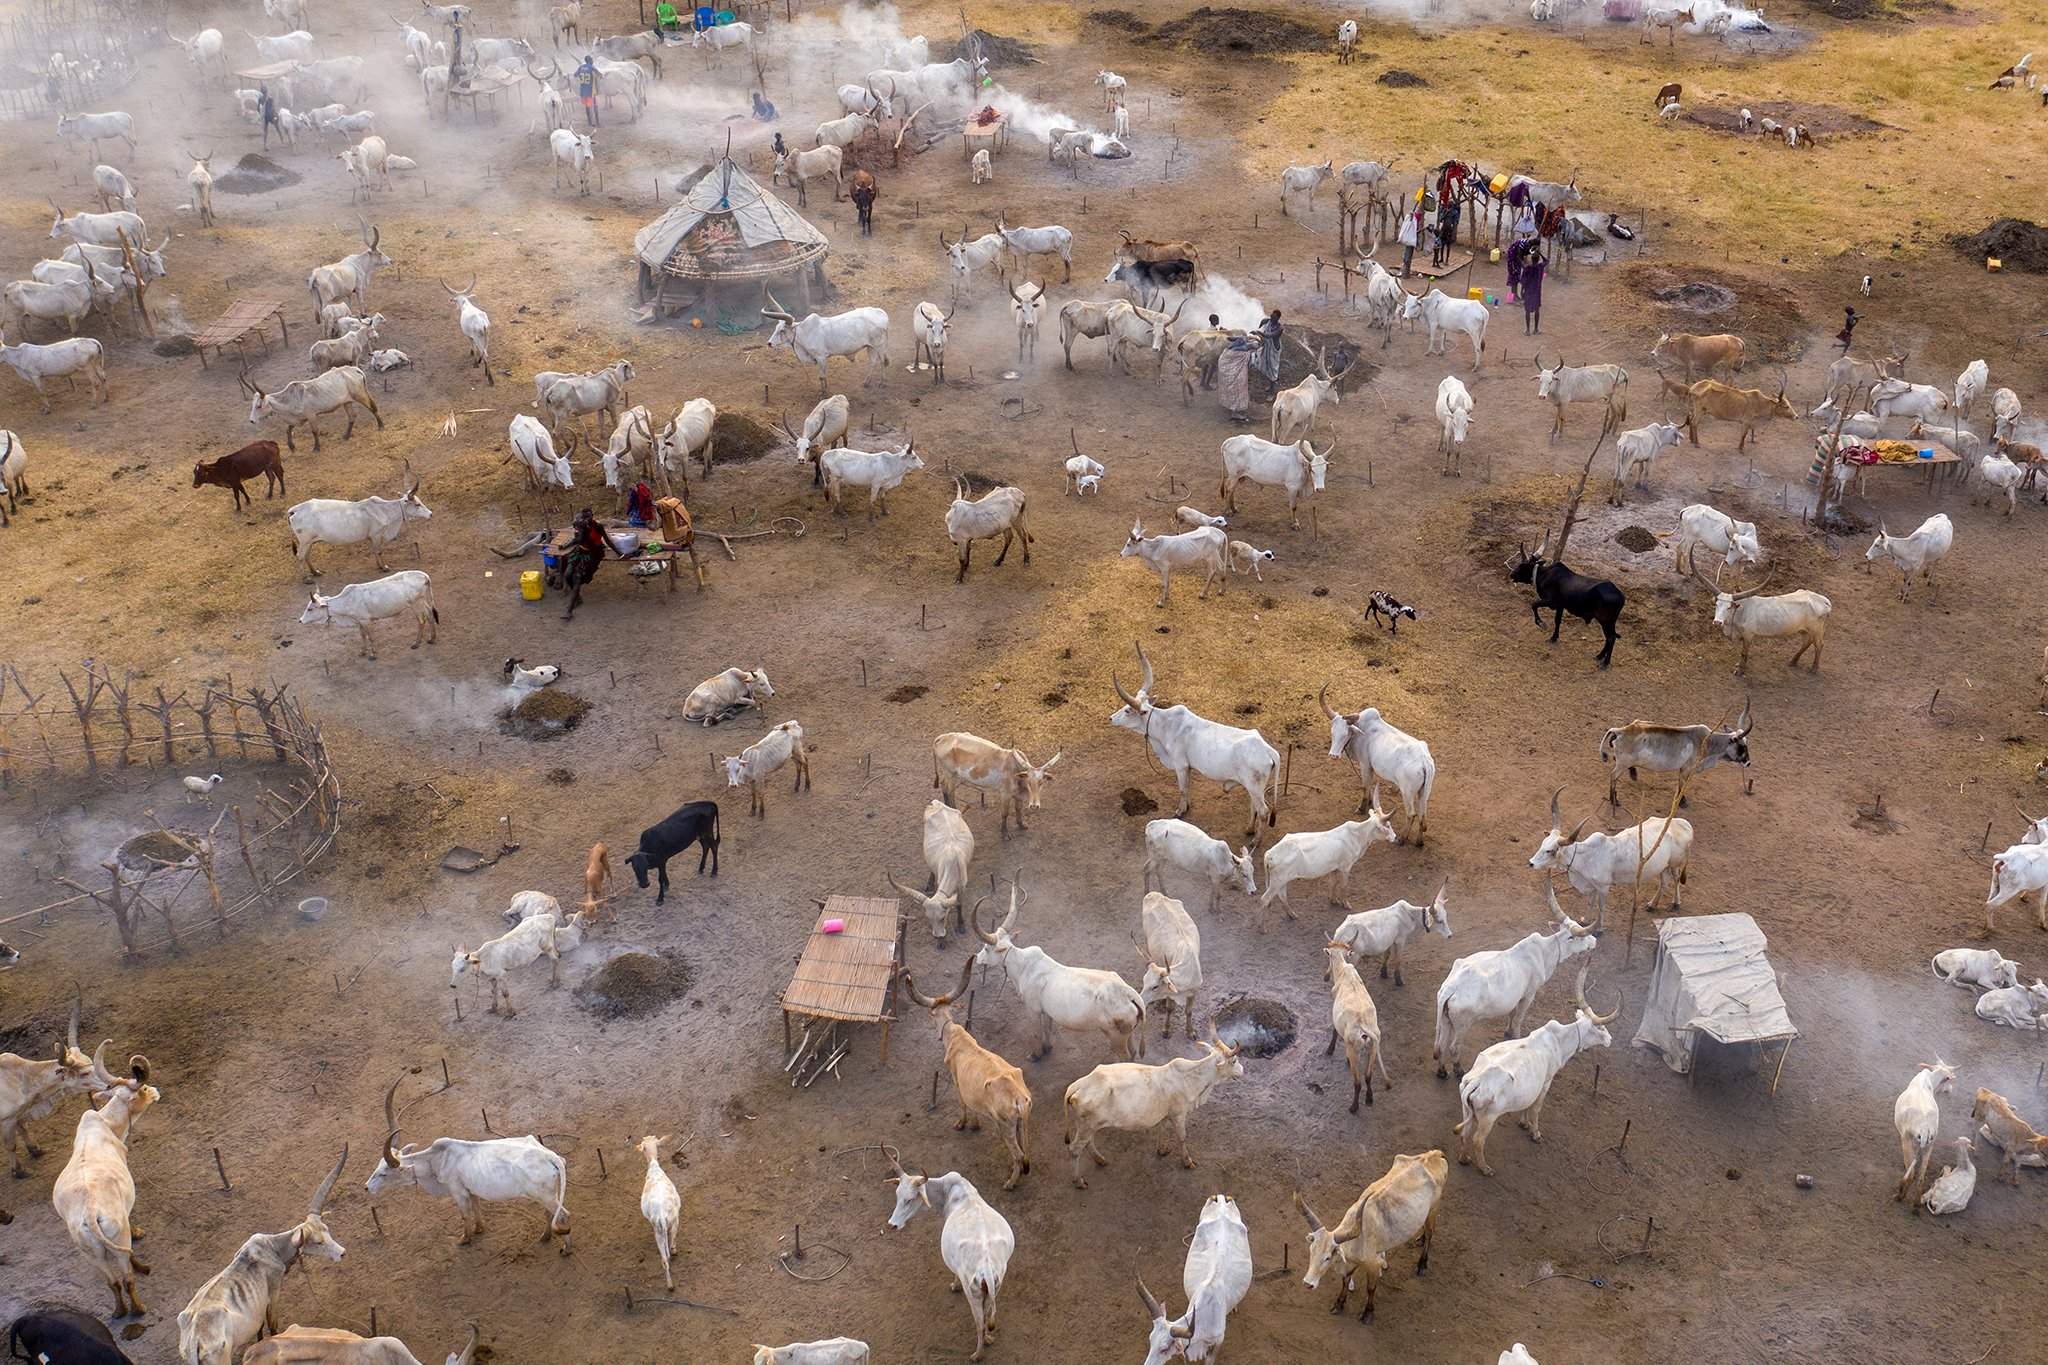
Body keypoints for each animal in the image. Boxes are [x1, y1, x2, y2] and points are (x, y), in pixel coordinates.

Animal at [905, 957, 1032, 1186]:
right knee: (1023, 1152)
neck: (953, 1035)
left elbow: (963, 1103)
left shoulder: (956, 1081)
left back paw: (1010, 1183)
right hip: (1019, 1123)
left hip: (1005, 1125)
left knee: (1018, 1154)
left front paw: (964, 1124)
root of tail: (1019, 1098)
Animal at [1302, 1154, 1449, 1326]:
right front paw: (1339, 1304)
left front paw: (1367, 1313)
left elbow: (1371, 1288)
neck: (1358, 1239)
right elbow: (1345, 1280)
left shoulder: (1372, 1265)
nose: (1307, 1283)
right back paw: (1420, 1238)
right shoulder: (1351, 1263)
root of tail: (1434, 1154)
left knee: (1431, 1233)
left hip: (1434, 1208)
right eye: (1311, 1251)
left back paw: (1422, 1264)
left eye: (1327, 1258)